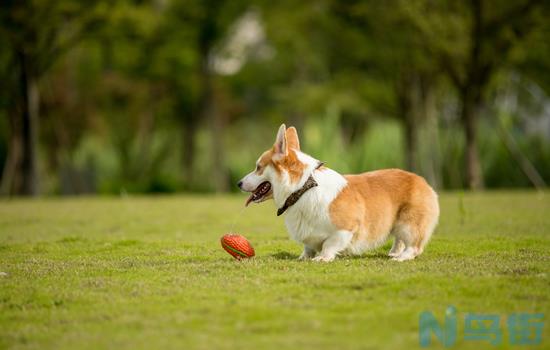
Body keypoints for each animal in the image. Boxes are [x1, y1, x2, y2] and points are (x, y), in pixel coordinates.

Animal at [239, 124, 442, 262]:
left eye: (258, 167)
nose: (238, 183)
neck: (303, 188)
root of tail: (422, 180)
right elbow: (308, 246)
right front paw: (304, 257)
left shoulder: (346, 228)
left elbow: (329, 244)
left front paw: (323, 257)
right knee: (399, 240)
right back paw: (393, 252)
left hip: (409, 224)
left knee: (414, 246)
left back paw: (401, 257)